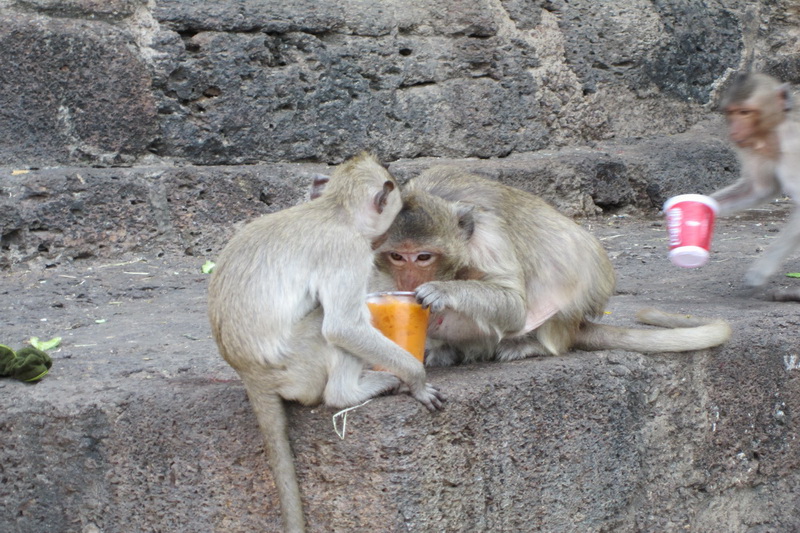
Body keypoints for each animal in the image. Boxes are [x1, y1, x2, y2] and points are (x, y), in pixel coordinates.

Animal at [206, 153, 444, 532]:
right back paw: (350, 392)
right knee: (327, 326)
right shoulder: (347, 250)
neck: (334, 210)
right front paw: (416, 378)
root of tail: (249, 373)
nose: (379, 243)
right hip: (297, 368)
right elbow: (343, 327)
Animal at [368, 166, 732, 366]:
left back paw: (530, 345)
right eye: (397, 256)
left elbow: (513, 305)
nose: (408, 280)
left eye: (424, 257)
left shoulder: (488, 239)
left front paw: (439, 291)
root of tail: (575, 326)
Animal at [708, 71, 800, 290]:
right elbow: (758, 189)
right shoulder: (753, 146)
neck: (775, 128)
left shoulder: (793, 144)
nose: (734, 131)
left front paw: (761, 270)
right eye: (731, 112)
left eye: (745, 112)